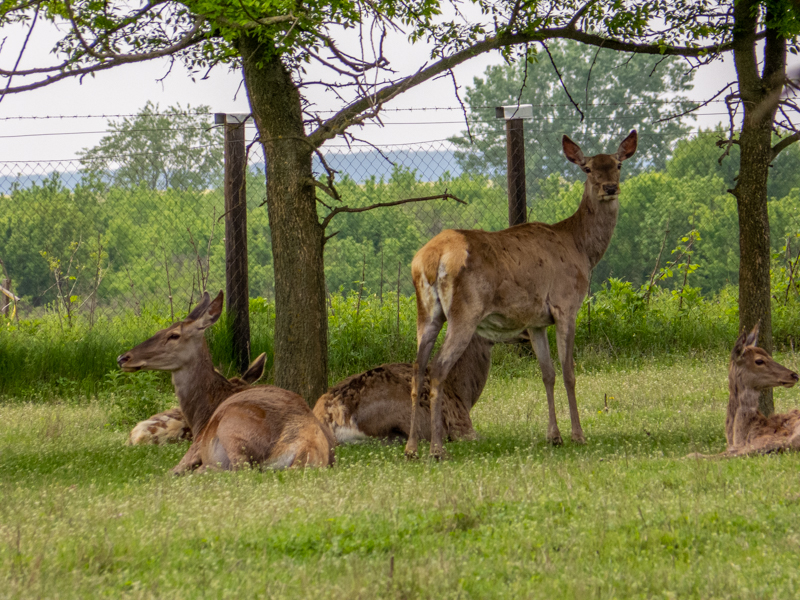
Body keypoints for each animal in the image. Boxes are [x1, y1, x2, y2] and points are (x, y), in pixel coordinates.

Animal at [405, 130, 638, 459]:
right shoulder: (566, 305)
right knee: (437, 369)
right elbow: (569, 371)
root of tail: (429, 259)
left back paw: (411, 447)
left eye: (617, 164)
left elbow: (547, 372)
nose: (610, 187)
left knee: (417, 368)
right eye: (588, 168)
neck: (581, 249)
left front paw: (554, 436)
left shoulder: (536, 321)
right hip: (465, 312)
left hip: (426, 313)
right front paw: (578, 435)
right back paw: (436, 449)